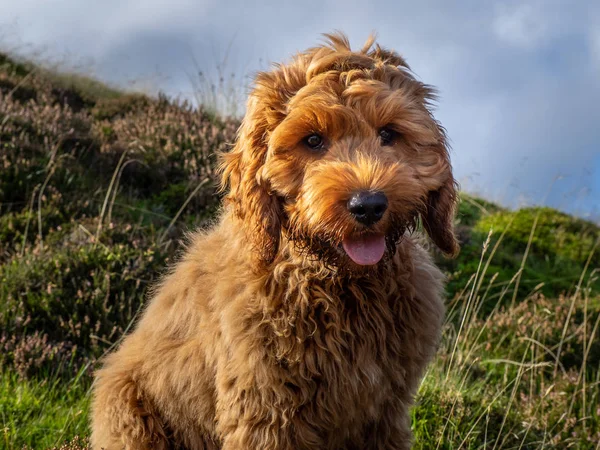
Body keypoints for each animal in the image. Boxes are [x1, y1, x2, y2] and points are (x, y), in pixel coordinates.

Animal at [91, 32, 460, 450]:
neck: (338, 285)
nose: (367, 205)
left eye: (388, 134)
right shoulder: (265, 409)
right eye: (313, 140)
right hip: (131, 416)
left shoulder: (384, 412)